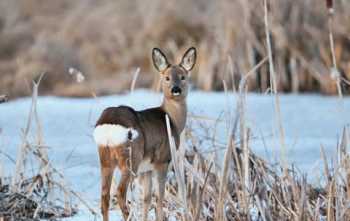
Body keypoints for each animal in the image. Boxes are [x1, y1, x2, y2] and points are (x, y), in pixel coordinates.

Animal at [93, 47, 197, 221]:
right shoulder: (163, 159)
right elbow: (159, 197)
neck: (172, 120)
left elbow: (146, 198)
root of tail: (109, 128)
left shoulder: (146, 168)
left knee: (105, 195)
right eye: (167, 78)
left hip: (105, 159)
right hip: (130, 158)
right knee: (120, 192)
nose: (176, 89)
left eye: (183, 77)